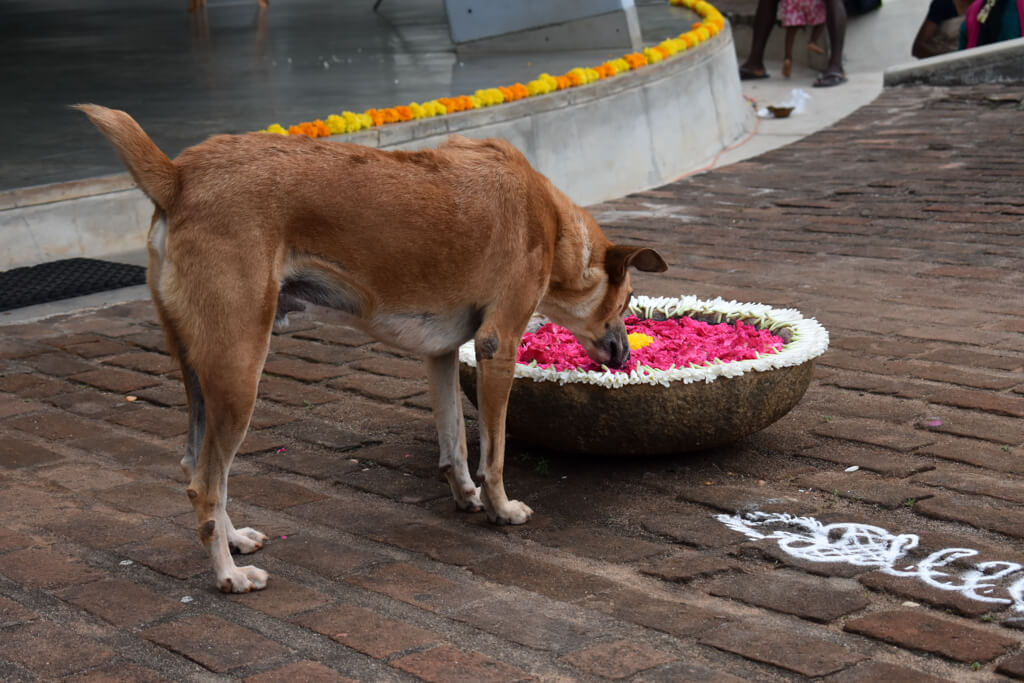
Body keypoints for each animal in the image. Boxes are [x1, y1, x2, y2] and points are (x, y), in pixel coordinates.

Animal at [75, 104, 667, 593]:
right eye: (627, 299)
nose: (626, 354)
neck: (551, 221)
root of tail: (179, 177)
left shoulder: (441, 355)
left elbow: (454, 442)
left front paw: (466, 497)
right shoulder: (498, 346)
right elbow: (493, 454)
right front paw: (500, 508)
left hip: (200, 368)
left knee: (196, 464)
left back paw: (235, 539)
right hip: (238, 369)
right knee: (204, 482)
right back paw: (229, 575)